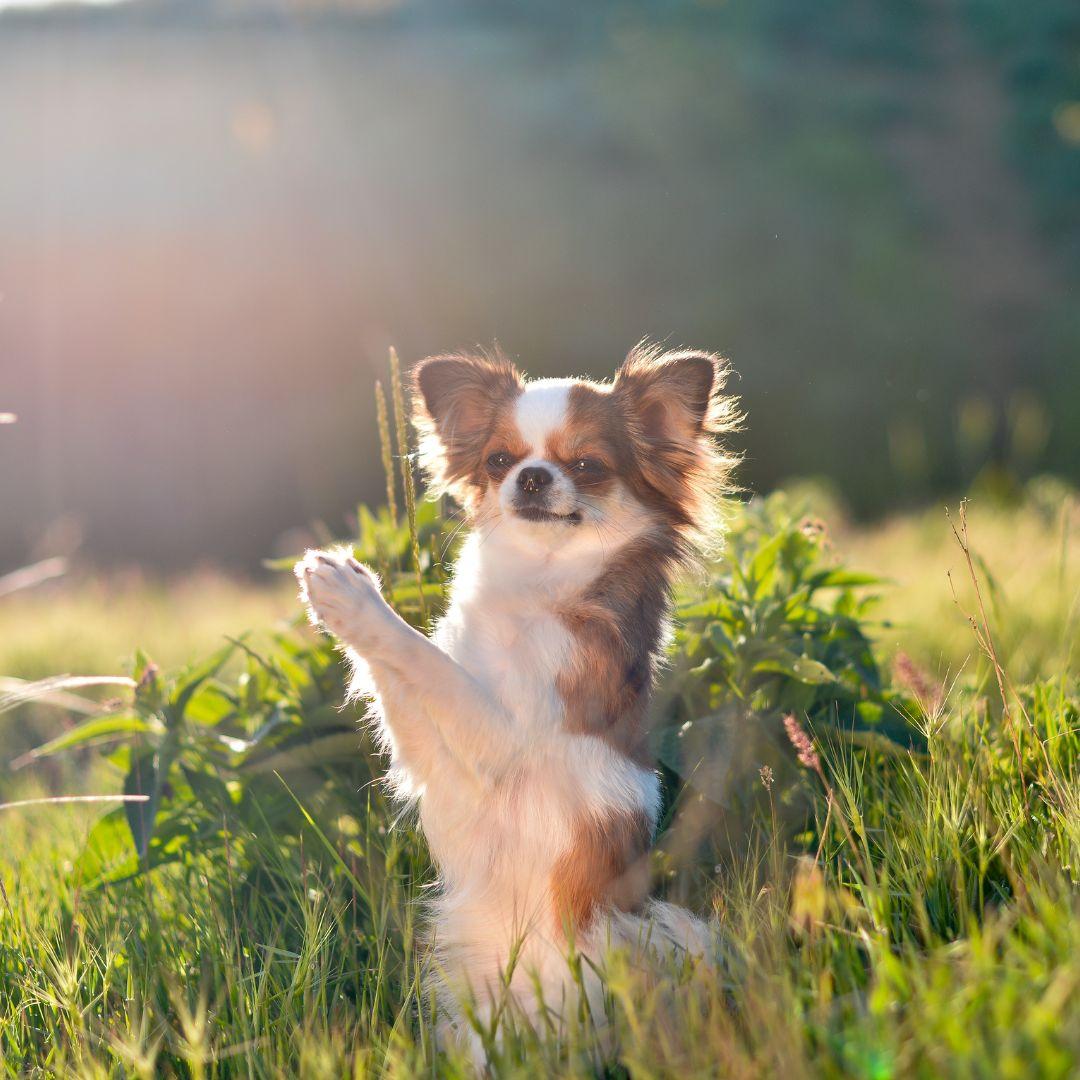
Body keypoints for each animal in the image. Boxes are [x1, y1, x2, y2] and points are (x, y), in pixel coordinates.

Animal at [291, 341, 738, 1058]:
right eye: (500, 459)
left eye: (587, 466)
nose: (529, 477)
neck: (536, 582)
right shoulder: (434, 758)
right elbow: (404, 676)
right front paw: (335, 596)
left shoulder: (502, 738)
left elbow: (425, 659)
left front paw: (353, 594)